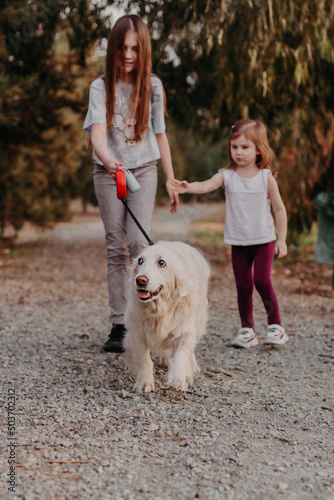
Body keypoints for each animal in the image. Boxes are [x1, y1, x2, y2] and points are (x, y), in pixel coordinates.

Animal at [124, 240, 210, 392]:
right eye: (140, 261)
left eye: (162, 262)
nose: (140, 280)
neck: (159, 310)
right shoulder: (137, 333)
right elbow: (145, 360)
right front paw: (144, 383)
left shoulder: (184, 332)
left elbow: (180, 357)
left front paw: (178, 379)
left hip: (198, 323)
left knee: (191, 349)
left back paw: (192, 368)